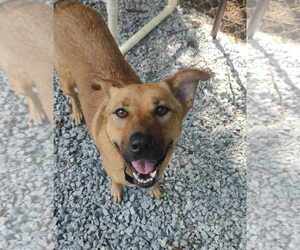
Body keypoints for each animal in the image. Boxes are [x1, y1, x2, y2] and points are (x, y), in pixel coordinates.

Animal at [54, 0, 210, 202]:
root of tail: (66, 4)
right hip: (65, 79)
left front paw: (155, 188)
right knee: (72, 95)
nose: (141, 144)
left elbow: (155, 180)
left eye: (161, 109)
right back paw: (76, 111)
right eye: (120, 112)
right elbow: (116, 180)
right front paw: (116, 190)